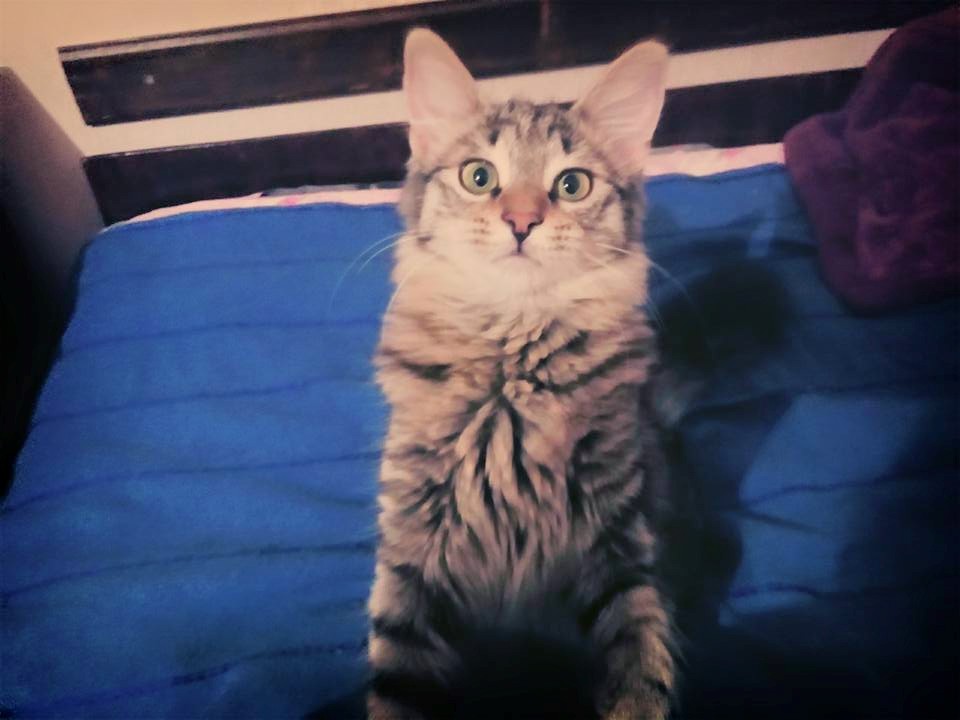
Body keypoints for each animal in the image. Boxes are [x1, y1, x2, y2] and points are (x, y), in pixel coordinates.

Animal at [368, 28, 675, 720]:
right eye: (479, 177)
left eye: (572, 185)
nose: (522, 221)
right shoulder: (414, 542)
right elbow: (395, 676)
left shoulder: (616, 534)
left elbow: (642, 648)